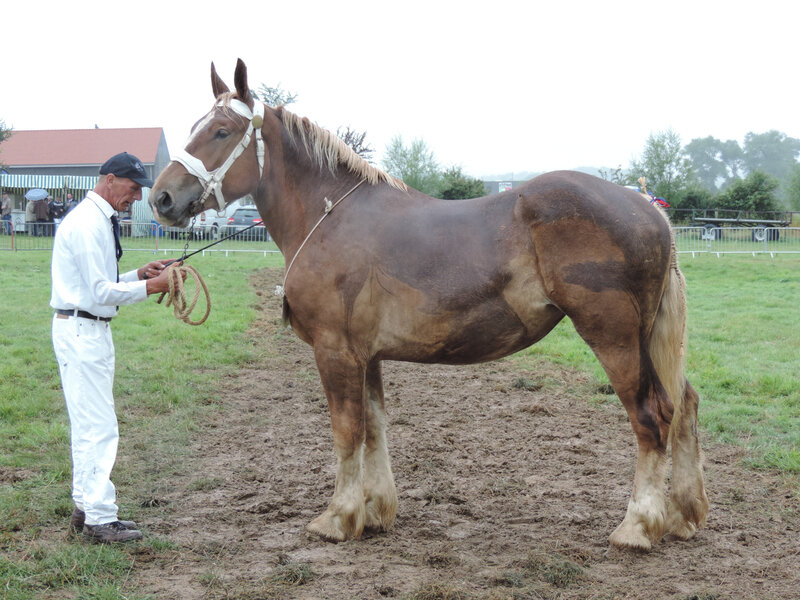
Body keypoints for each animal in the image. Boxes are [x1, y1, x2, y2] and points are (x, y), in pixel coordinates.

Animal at [150, 59, 708, 548]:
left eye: (222, 131)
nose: (162, 199)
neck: (330, 217)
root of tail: (644, 207)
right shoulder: (366, 355)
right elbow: (374, 427)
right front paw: (374, 512)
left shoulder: (334, 352)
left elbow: (346, 430)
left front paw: (337, 517)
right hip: (646, 339)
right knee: (684, 405)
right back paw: (682, 516)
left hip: (614, 337)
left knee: (652, 416)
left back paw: (638, 526)